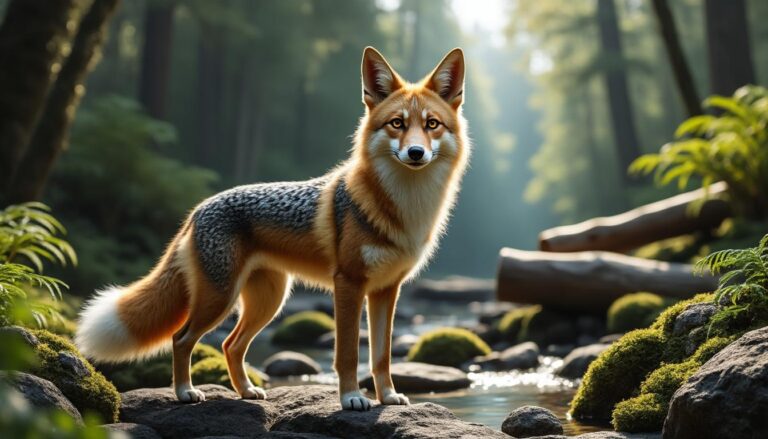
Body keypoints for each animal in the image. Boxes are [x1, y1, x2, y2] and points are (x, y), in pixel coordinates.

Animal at [75, 47, 469, 411]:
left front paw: (387, 397)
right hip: (220, 300)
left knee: (229, 344)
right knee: (182, 339)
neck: (404, 207)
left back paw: (247, 392)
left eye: (432, 124)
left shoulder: (387, 290)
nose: (416, 153)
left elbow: (382, 356)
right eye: (397, 124)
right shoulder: (349, 284)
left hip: (267, 303)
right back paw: (186, 392)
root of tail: (198, 209)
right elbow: (347, 355)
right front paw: (352, 398)